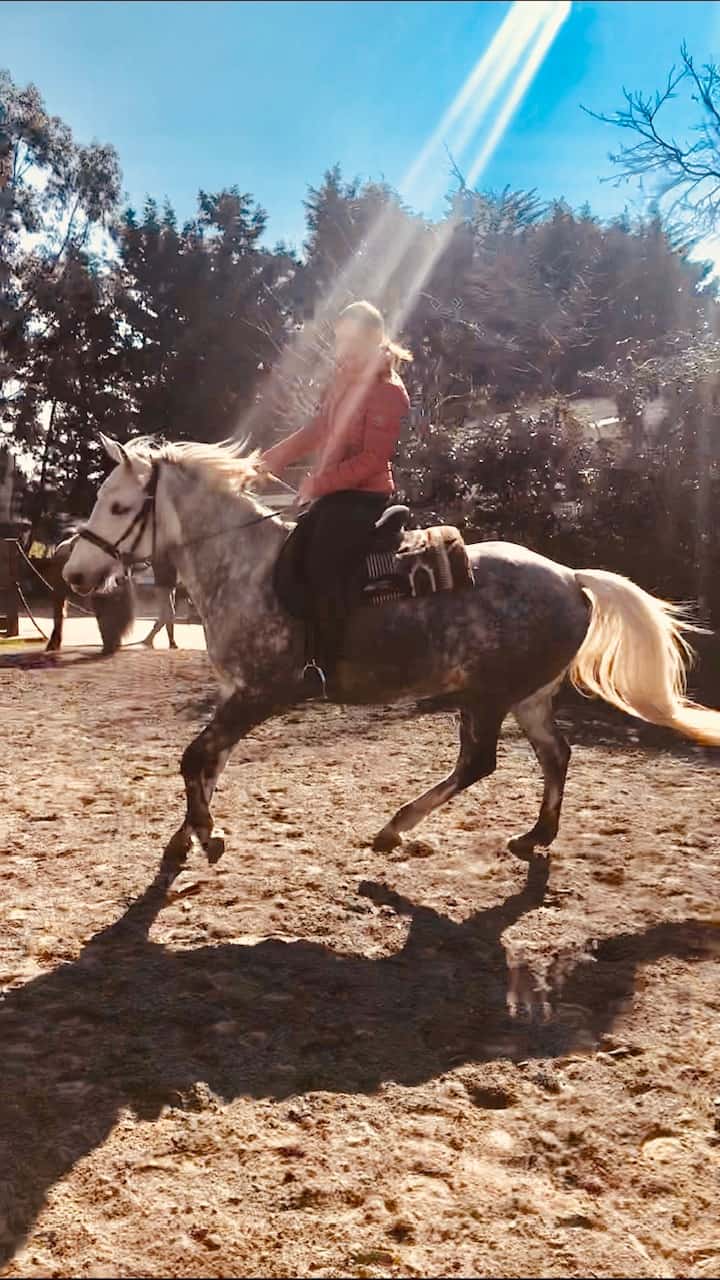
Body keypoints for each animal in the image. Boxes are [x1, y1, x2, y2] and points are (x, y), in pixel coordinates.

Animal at [63, 434, 720, 864]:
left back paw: (396, 827)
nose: (74, 574)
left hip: (488, 697)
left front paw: (207, 835)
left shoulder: (261, 693)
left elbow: (194, 758)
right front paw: (186, 836)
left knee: (480, 763)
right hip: (528, 698)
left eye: (119, 506)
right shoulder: (235, 694)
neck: (247, 567)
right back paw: (534, 837)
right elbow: (209, 761)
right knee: (555, 755)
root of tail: (571, 577)